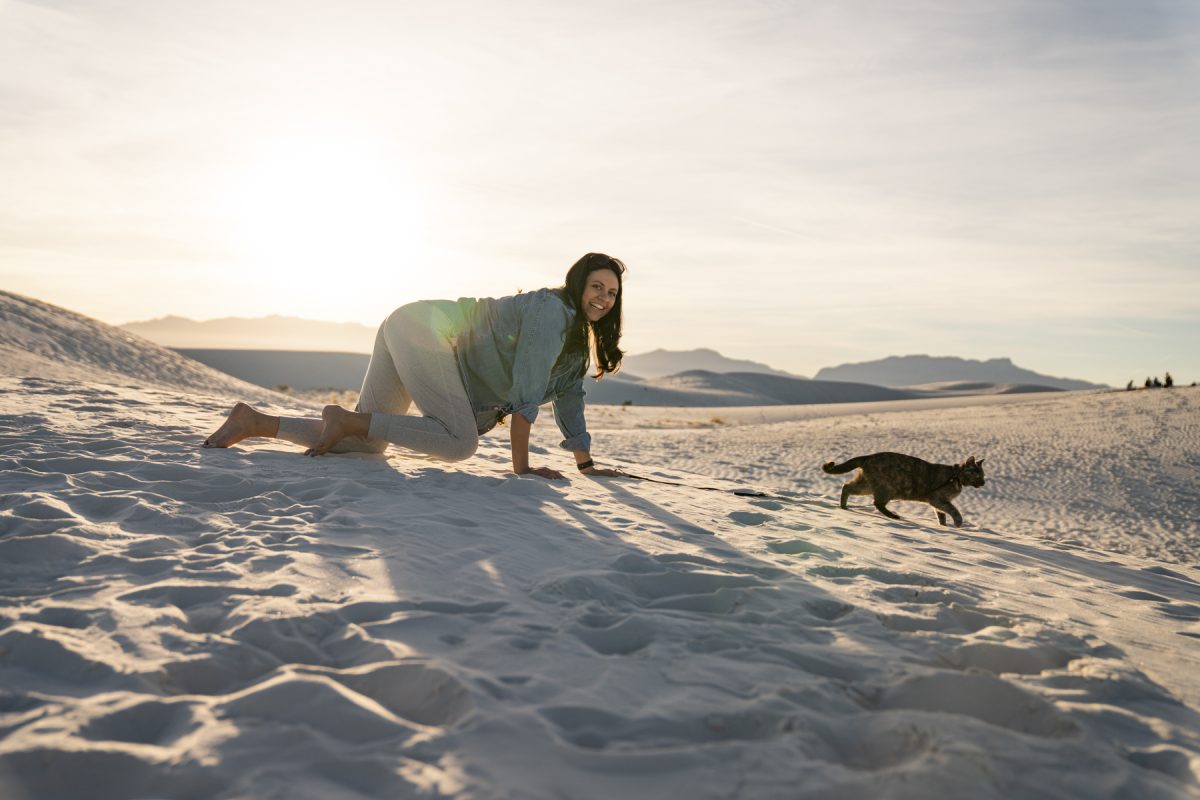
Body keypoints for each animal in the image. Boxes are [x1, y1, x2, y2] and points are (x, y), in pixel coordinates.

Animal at [825, 453, 984, 527]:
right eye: (978, 475)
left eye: (983, 475)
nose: (983, 482)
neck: (955, 476)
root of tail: (868, 456)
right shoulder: (938, 499)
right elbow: (953, 510)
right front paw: (958, 523)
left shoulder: (938, 503)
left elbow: (942, 515)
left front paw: (944, 526)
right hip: (887, 488)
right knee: (877, 503)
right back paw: (893, 516)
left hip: (866, 485)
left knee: (847, 486)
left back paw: (844, 506)